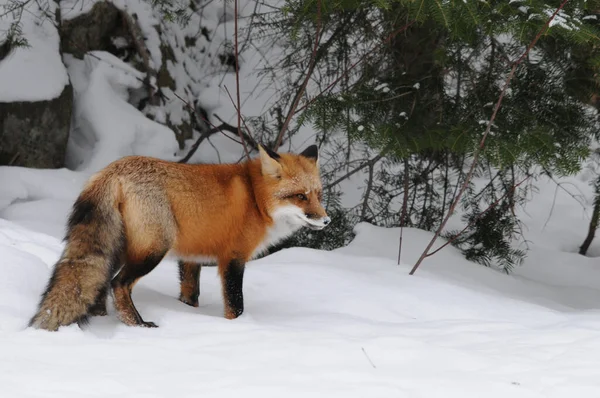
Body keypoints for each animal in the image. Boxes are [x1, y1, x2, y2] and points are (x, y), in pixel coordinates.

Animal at [28, 145, 330, 332]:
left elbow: (190, 296)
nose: (326, 220)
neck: (255, 200)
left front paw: (188, 314)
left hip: (117, 249)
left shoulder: (190, 258)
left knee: (100, 284)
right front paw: (238, 329)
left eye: (318, 195)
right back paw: (138, 325)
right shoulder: (233, 258)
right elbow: (236, 304)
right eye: (300, 196)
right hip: (153, 249)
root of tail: (112, 170)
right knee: (118, 284)